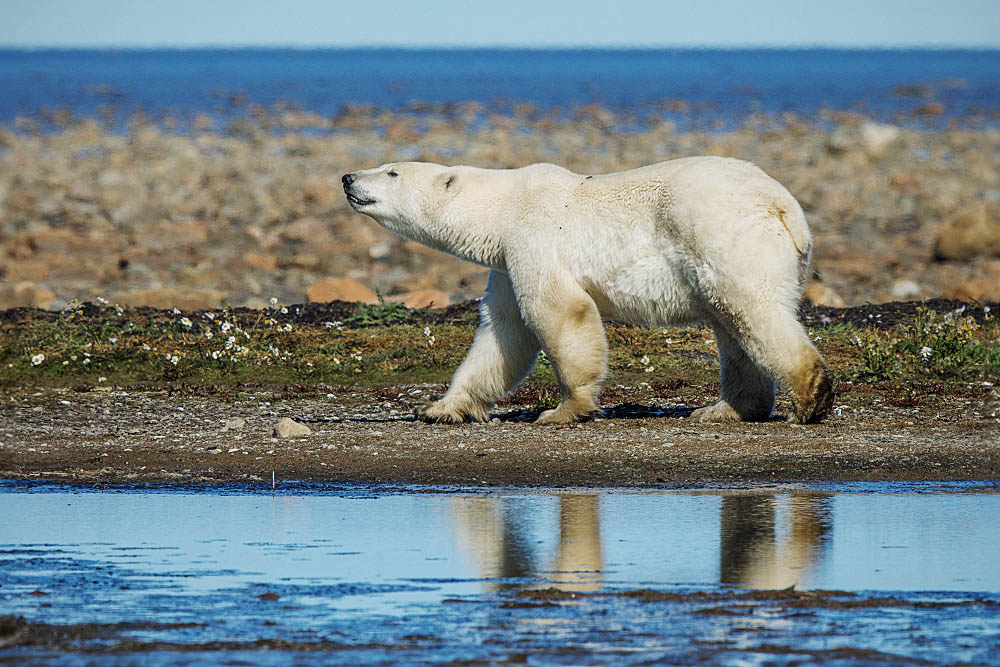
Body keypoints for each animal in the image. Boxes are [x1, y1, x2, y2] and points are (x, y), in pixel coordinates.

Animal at [344, 159, 836, 426]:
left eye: (391, 171)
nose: (348, 178)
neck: (502, 208)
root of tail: (786, 207)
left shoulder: (534, 236)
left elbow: (558, 311)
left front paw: (564, 410)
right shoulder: (506, 261)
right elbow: (503, 332)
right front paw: (440, 408)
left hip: (722, 236)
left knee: (751, 311)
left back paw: (809, 399)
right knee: (732, 328)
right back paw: (724, 410)